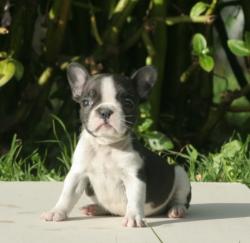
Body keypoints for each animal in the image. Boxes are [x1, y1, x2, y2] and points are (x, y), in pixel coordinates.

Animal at [41, 63, 191, 228]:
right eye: (86, 102)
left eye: (128, 103)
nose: (105, 111)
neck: (106, 146)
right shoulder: (78, 173)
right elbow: (67, 194)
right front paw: (57, 211)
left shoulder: (134, 175)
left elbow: (135, 198)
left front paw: (133, 217)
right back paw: (95, 208)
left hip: (180, 174)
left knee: (181, 198)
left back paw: (177, 209)